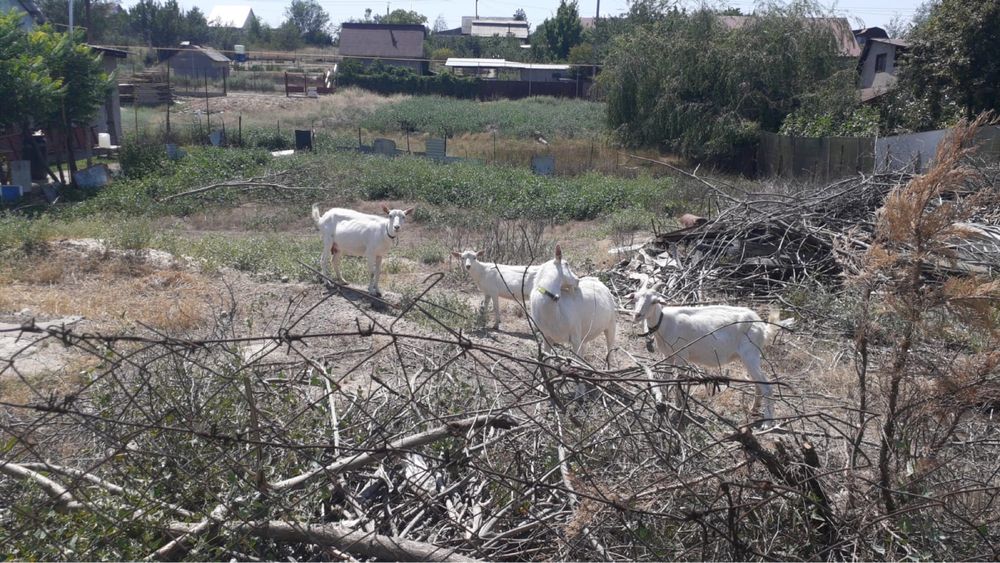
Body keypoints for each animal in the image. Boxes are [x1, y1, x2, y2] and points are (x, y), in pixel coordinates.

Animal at [629, 284, 794, 422]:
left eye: (653, 301)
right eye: (635, 298)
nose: (637, 315)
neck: (665, 322)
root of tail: (762, 327)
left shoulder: (682, 355)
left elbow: (677, 381)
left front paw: (677, 411)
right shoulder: (668, 356)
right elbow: (666, 379)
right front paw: (663, 402)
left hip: (751, 355)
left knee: (767, 386)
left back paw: (767, 421)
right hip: (749, 358)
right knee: (758, 383)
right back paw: (754, 410)